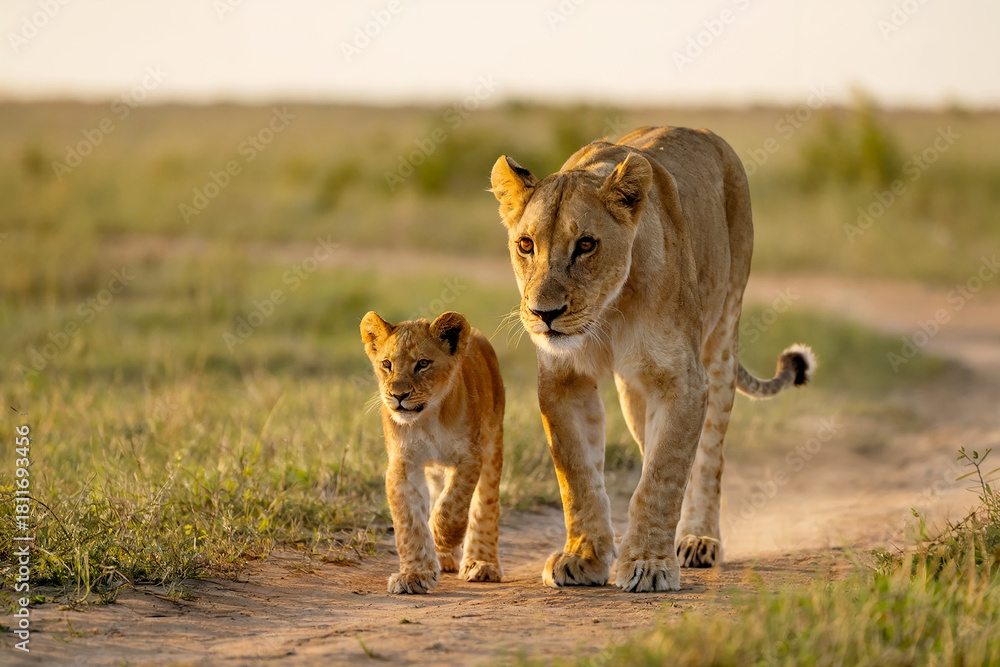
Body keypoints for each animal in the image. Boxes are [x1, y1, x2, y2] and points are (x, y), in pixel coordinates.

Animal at [361, 310, 505, 594]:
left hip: (493, 442)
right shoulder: (403, 466)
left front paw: (442, 537)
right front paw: (414, 575)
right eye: (387, 364)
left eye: (423, 363)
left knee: (485, 505)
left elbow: (453, 505)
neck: (427, 418)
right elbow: (410, 523)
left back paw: (481, 564)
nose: (399, 395)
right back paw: (448, 559)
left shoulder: (470, 456)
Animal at [489, 126, 815, 593]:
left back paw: (699, 540)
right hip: (634, 390)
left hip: (722, 339)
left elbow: (662, 476)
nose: (544, 314)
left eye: (585, 244)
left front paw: (647, 564)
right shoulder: (563, 379)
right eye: (526, 245)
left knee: (708, 456)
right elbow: (577, 473)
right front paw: (584, 557)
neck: (607, 313)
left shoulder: (683, 379)